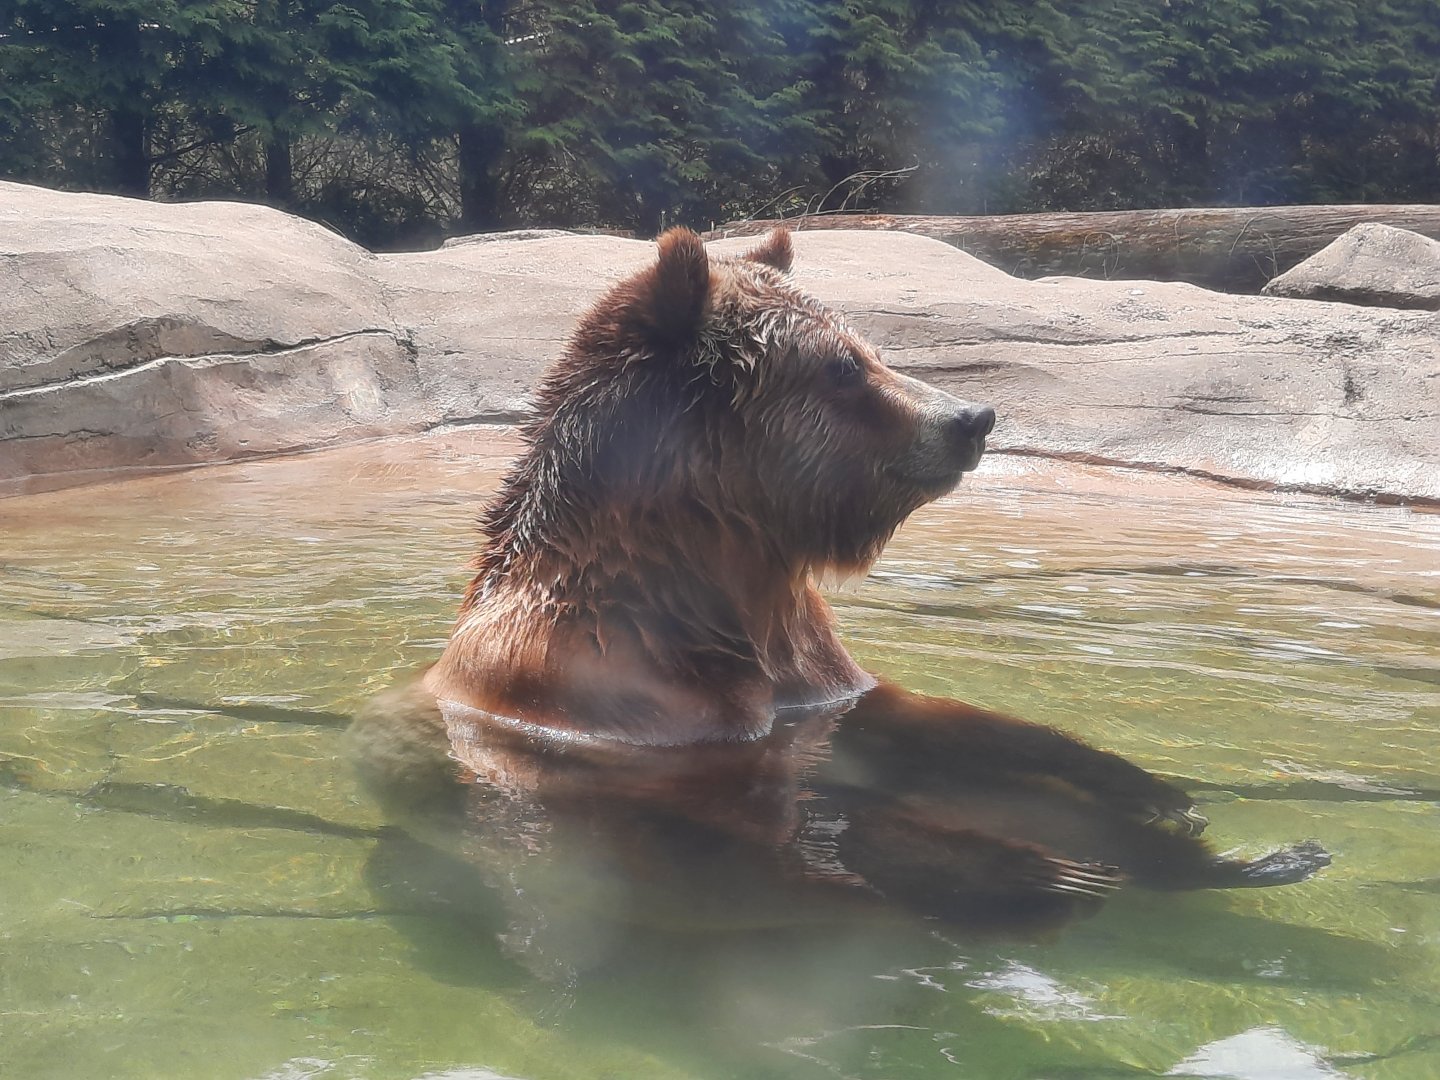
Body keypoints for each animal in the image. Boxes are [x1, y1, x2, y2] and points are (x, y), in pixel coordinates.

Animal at [355, 226, 1328, 948]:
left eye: (868, 348)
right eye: (843, 367)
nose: (971, 417)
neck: (724, 575)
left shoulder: (813, 674)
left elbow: (932, 719)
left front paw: (1149, 789)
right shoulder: (617, 709)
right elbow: (739, 819)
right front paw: (1020, 868)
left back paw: (1235, 855)